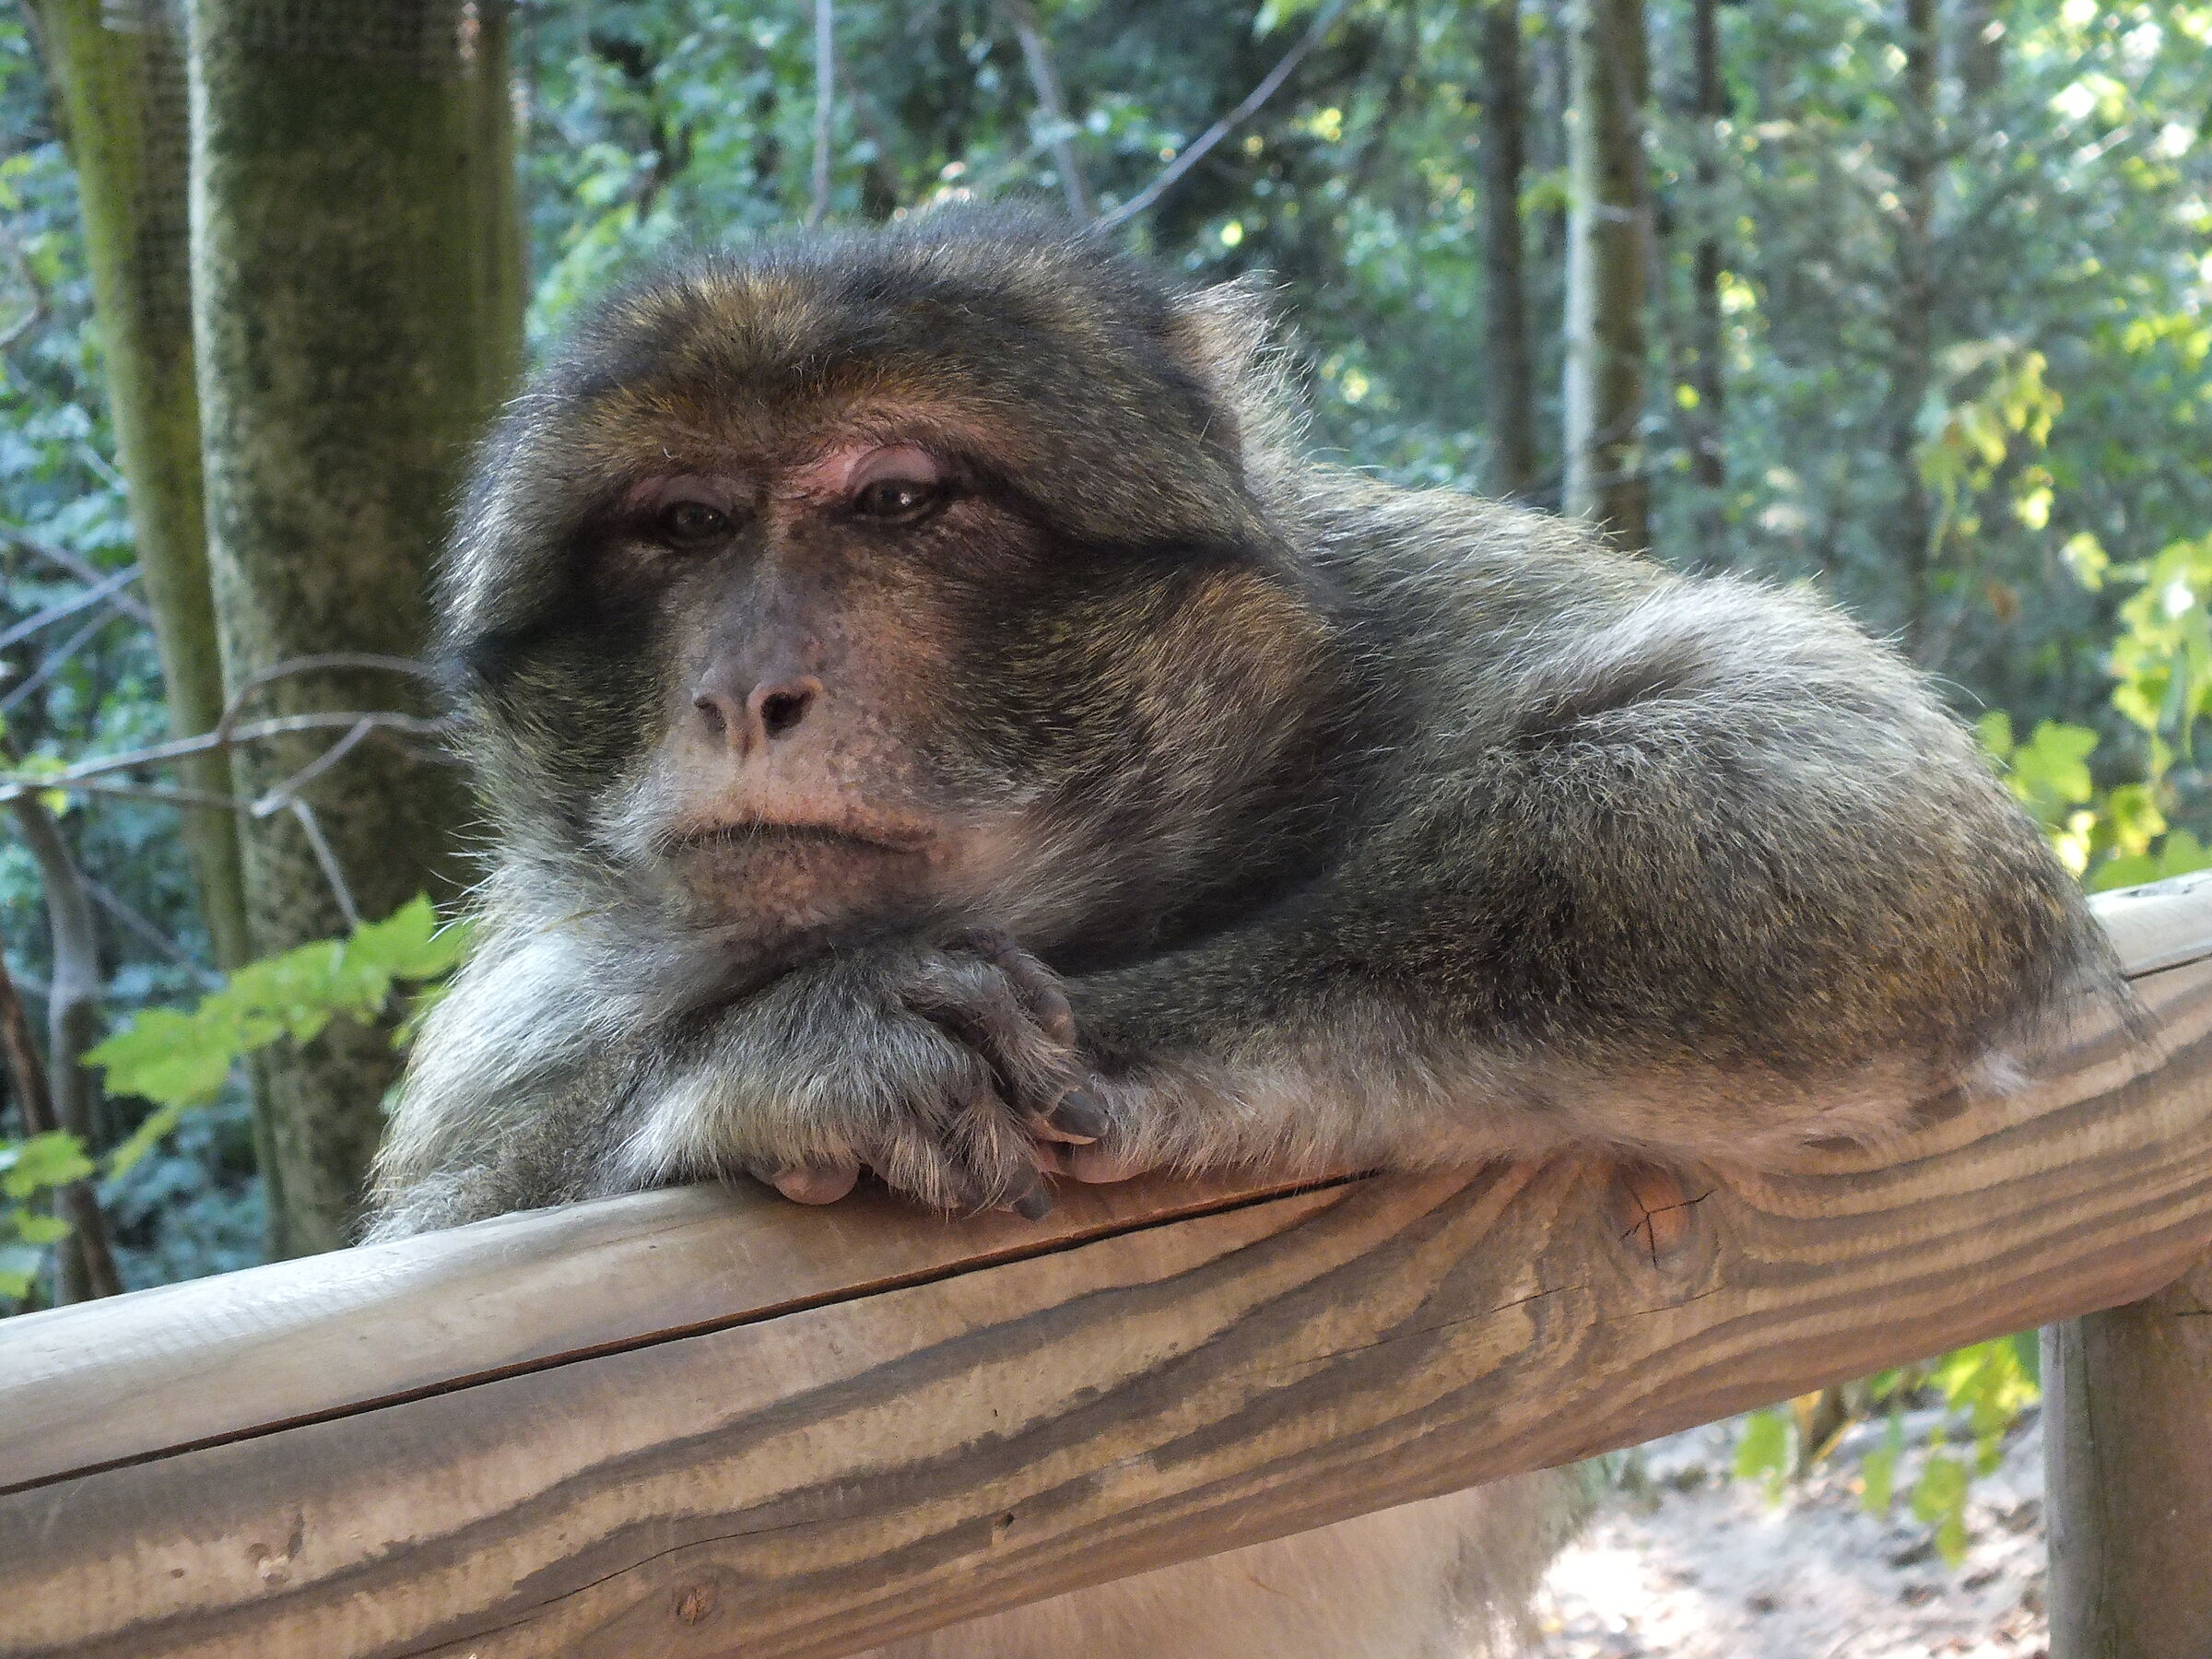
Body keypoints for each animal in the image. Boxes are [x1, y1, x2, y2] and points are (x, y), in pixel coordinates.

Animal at [365, 210, 2115, 1658]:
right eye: (682, 526)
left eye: (900, 500)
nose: (743, 690)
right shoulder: (527, 1011)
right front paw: (792, 1051)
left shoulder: (1405, 608)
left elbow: (1831, 768)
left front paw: (1147, 1040)